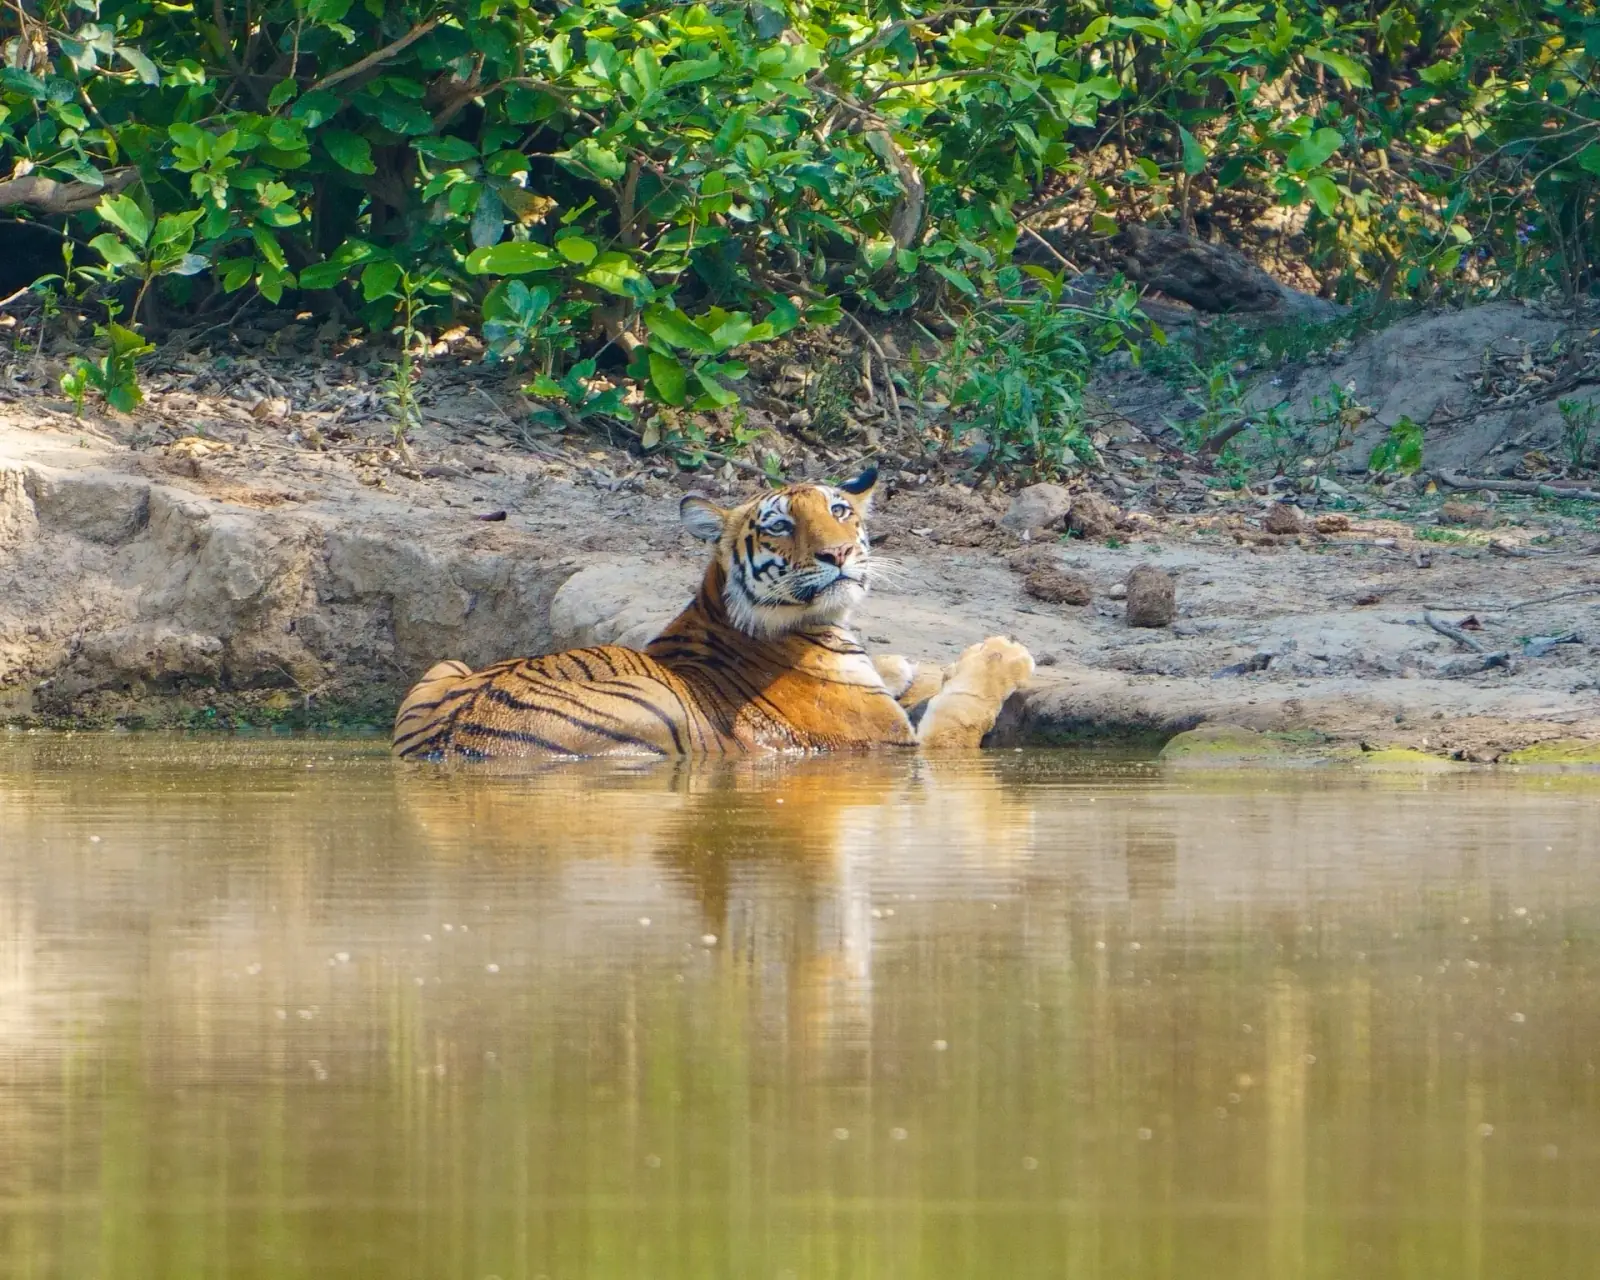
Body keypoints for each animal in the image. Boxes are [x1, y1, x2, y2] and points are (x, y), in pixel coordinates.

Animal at [391, 464, 1035, 761]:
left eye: (840, 511)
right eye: (781, 526)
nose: (840, 553)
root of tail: (447, 746)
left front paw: (910, 667)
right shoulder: (896, 745)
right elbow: (962, 713)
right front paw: (1001, 654)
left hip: (445, 667)